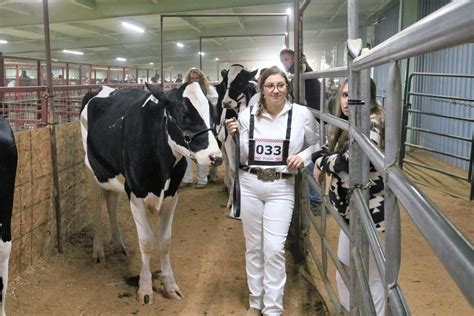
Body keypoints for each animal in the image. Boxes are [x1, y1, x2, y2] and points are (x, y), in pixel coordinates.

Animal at [80, 81, 222, 304]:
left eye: (214, 114)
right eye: (184, 115)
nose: (216, 157)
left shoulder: (172, 195)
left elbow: (164, 242)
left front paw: (171, 286)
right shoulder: (135, 193)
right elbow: (146, 242)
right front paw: (145, 289)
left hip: (116, 176)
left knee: (111, 203)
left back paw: (118, 245)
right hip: (93, 170)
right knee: (97, 205)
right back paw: (98, 251)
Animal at [216, 63, 258, 217]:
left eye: (240, 82)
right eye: (224, 83)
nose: (226, 102)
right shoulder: (229, 140)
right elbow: (234, 170)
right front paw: (232, 203)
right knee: (227, 161)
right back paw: (227, 185)